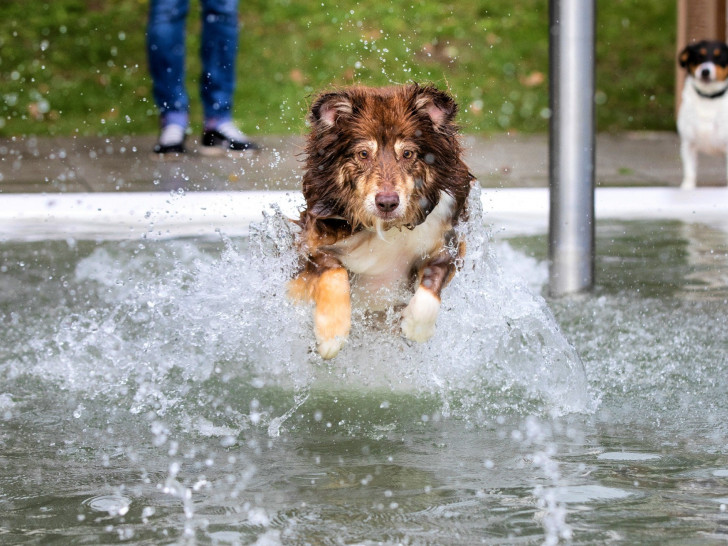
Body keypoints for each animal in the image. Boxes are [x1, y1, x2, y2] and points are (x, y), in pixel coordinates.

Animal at [288, 84, 474, 356]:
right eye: (363, 153)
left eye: (407, 153)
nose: (387, 202)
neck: (388, 228)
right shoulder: (309, 243)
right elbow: (334, 272)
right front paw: (331, 334)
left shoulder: (449, 239)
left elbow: (434, 279)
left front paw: (415, 327)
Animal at [676, 40, 728, 189]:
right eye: (699, 56)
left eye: (719, 57)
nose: (705, 71)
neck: (708, 98)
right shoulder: (688, 144)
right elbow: (690, 172)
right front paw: (687, 188)